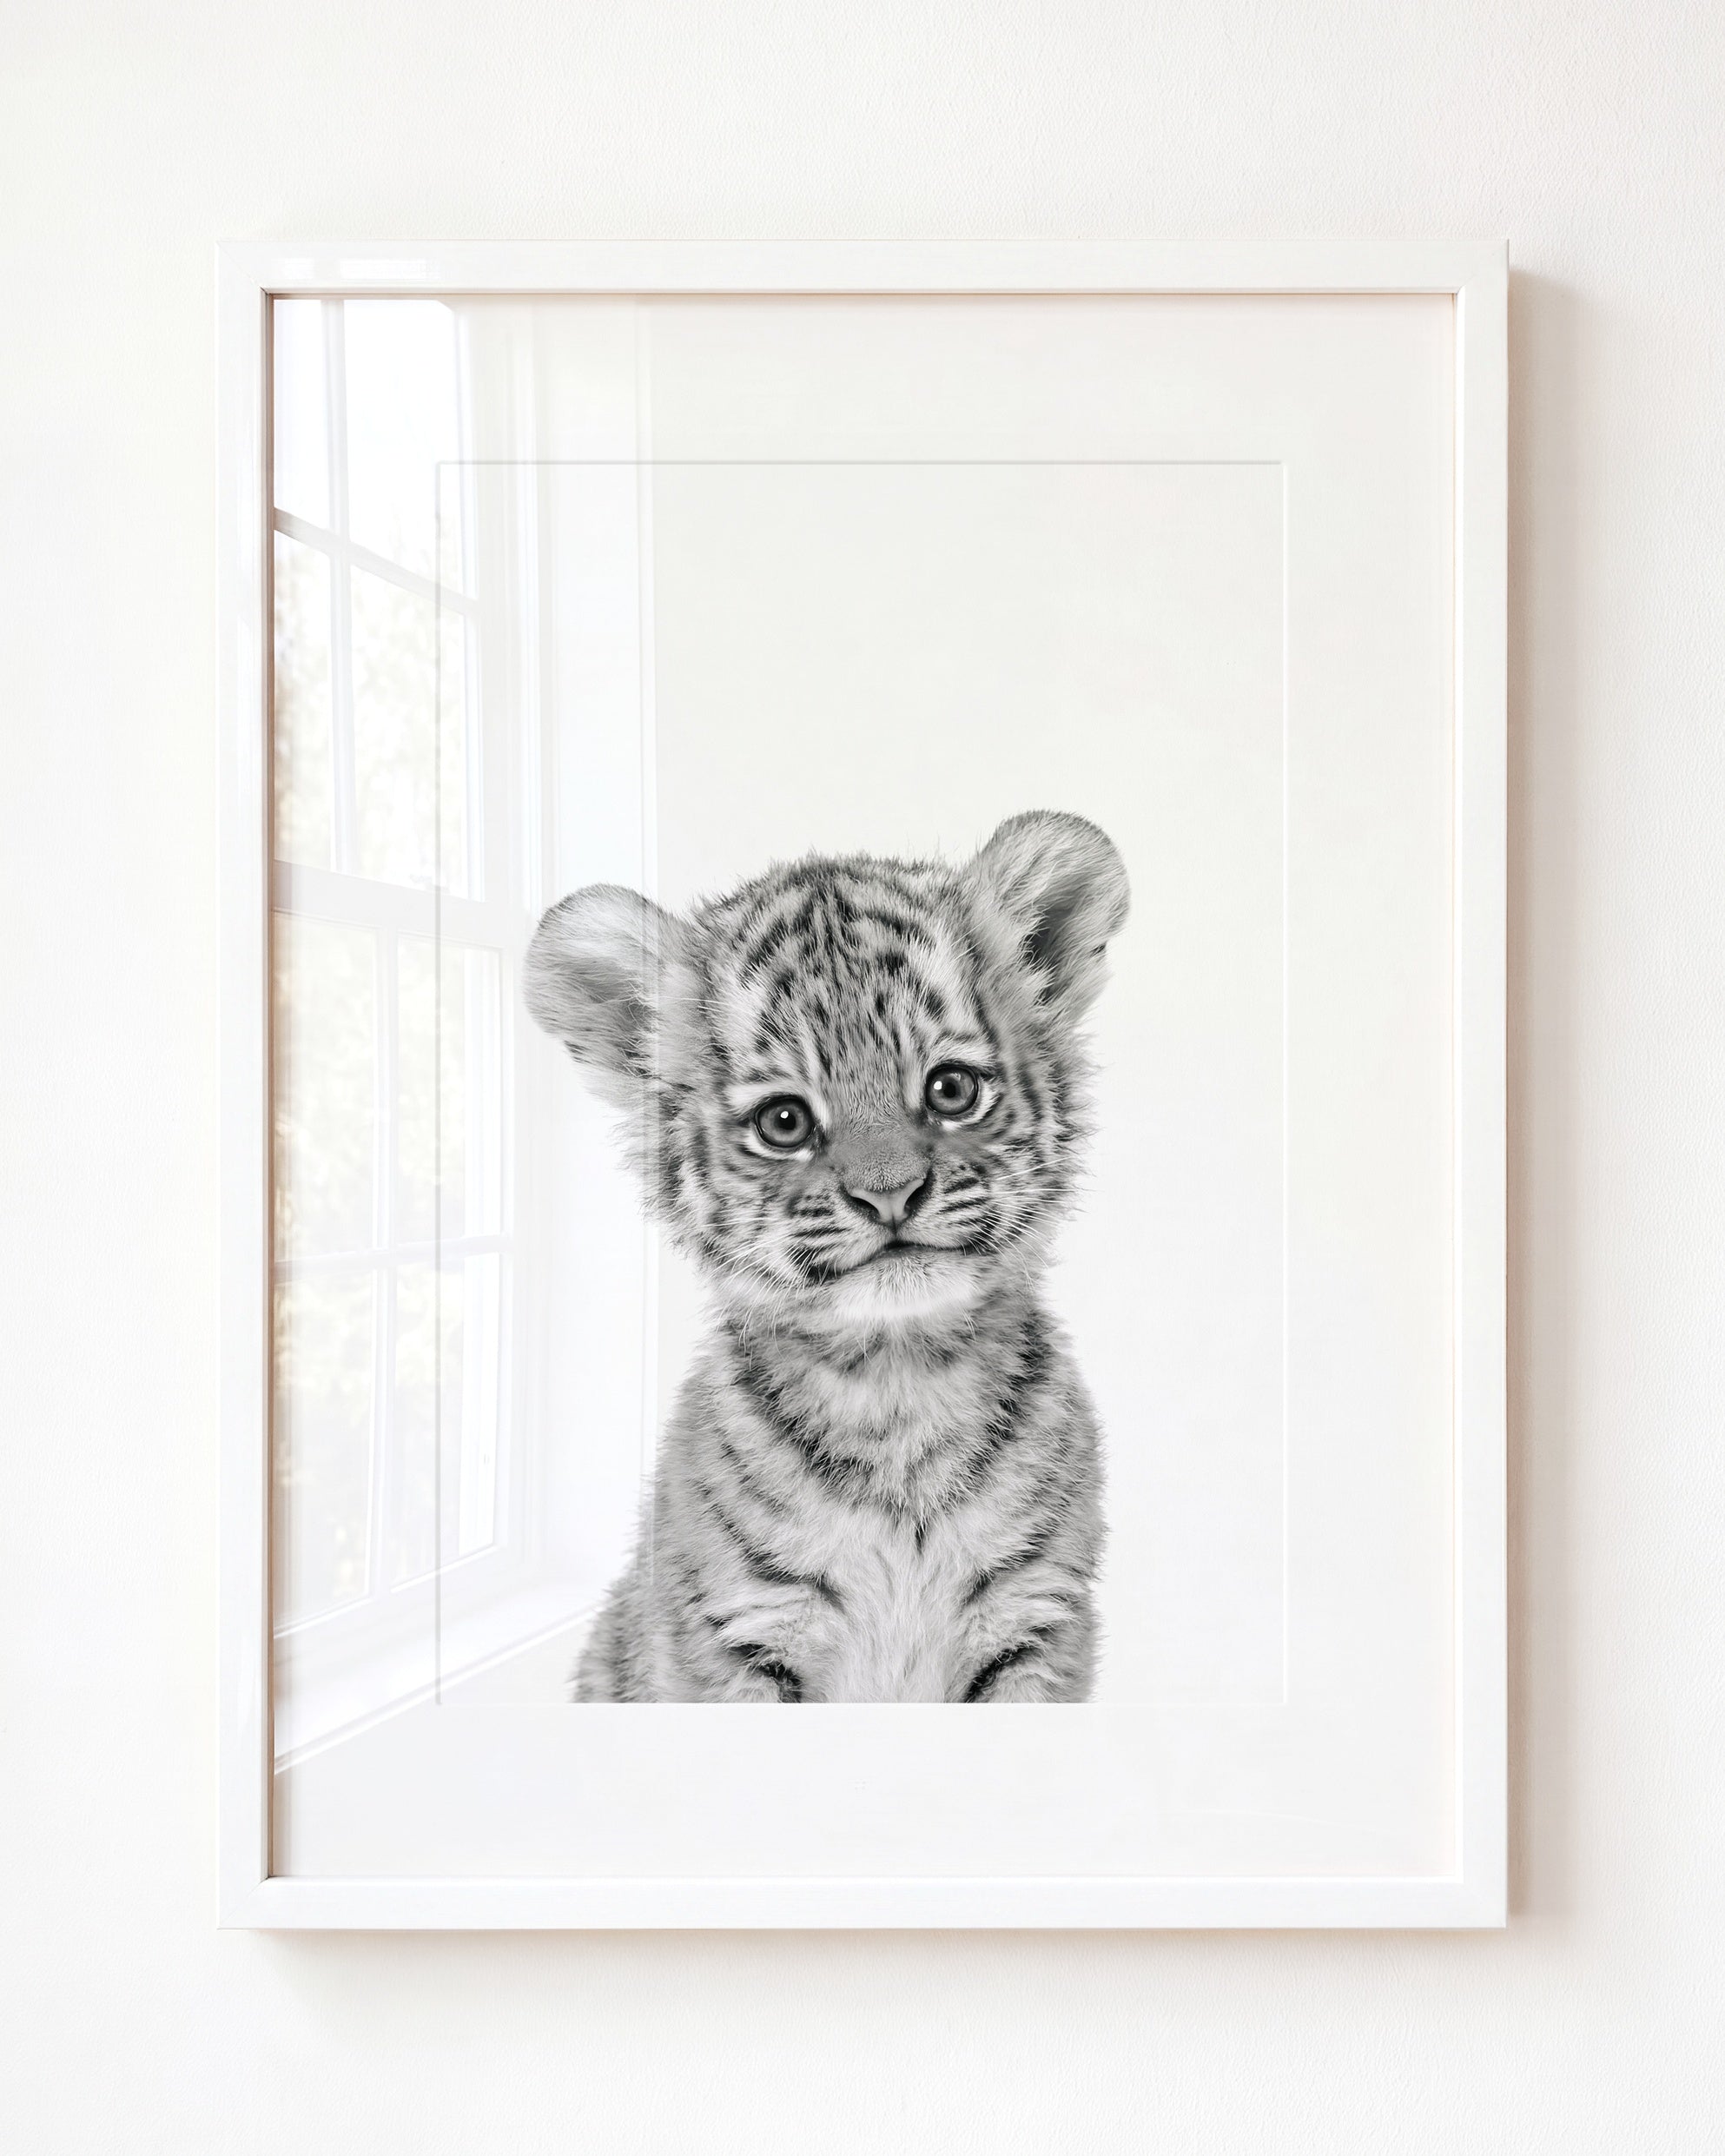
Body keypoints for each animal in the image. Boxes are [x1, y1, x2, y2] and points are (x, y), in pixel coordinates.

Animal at [524, 809, 1129, 1702]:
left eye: (951, 1089)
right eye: (784, 1122)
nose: (890, 1196)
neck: (900, 1390)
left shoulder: (1035, 1622)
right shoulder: (738, 1638)